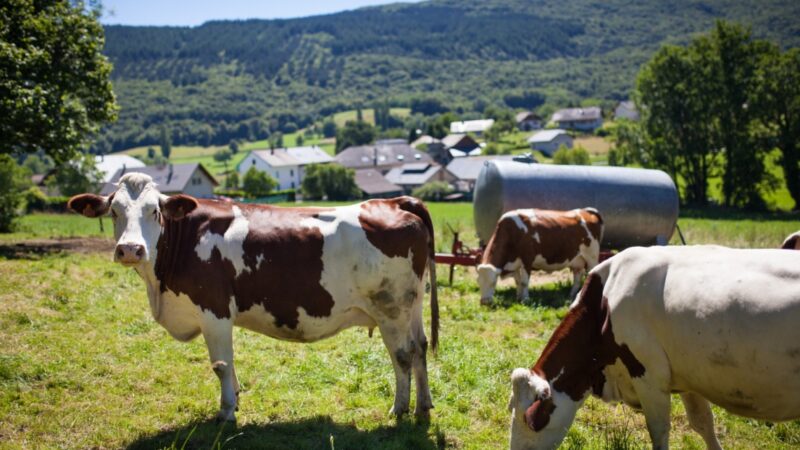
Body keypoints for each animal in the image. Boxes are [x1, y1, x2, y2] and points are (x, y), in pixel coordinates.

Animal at [69, 172, 440, 422]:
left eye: (154, 211)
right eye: (114, 211)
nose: (130, 249)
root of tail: (394, 201)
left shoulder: (214, 310)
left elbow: (220, 365)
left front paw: (226, 412)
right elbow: (229, 365)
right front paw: (236, 398)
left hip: (390, 308)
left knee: (403, 355)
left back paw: (399, 409)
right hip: (413, 304)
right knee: (421, 348)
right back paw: (423, 406)